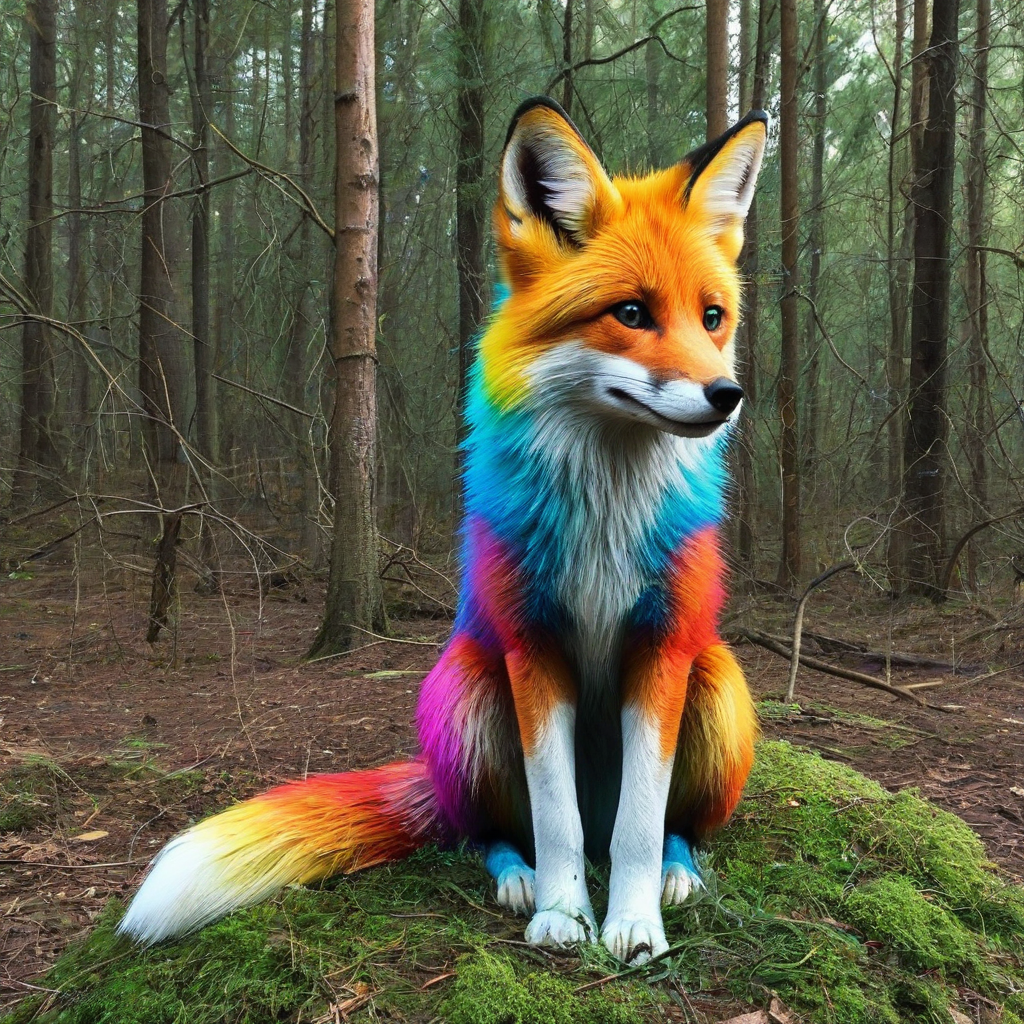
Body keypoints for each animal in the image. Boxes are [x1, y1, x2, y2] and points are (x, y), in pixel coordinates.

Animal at [118, 97, 767, 964]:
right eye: (631, 313)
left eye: (712, 318)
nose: (726, 395)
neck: (603, 517)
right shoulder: (531, 649)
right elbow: (556, 822)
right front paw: (563, 914)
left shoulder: (663, 649)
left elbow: (636, 824)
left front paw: (631, 924)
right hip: (467, 686)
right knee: (492, 831)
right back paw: (517, 876)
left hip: (718, 679)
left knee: (663, 828)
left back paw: (676, 873)